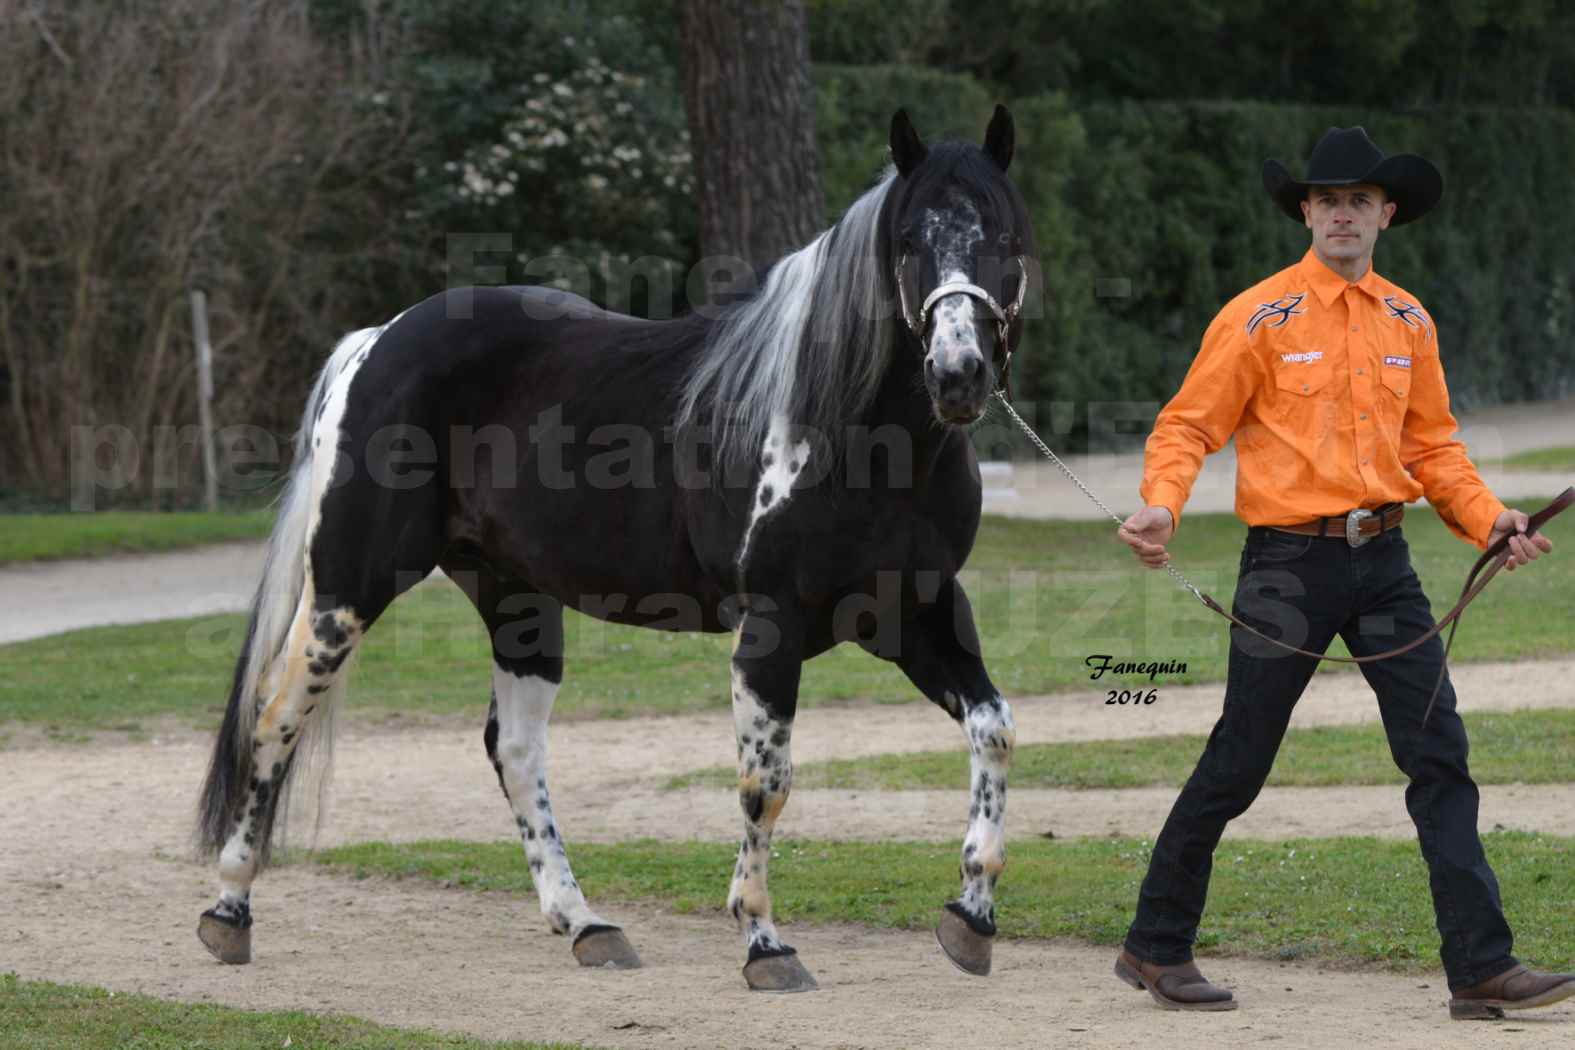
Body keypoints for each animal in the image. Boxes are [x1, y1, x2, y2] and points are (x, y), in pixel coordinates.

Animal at [193, 107, 1033, 994]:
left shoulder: (915, 614)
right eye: (907, 240)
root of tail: (376, 341)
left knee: (515, 750)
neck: (851, 431)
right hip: (347, 590)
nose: (958, 373)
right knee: (276, 717)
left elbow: (994, 728)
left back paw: (585, 923)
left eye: (1006, 236)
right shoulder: (769, 634)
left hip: (516, 604)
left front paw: (972, 916)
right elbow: (763, 786)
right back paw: (229, 909)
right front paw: (764, 942)